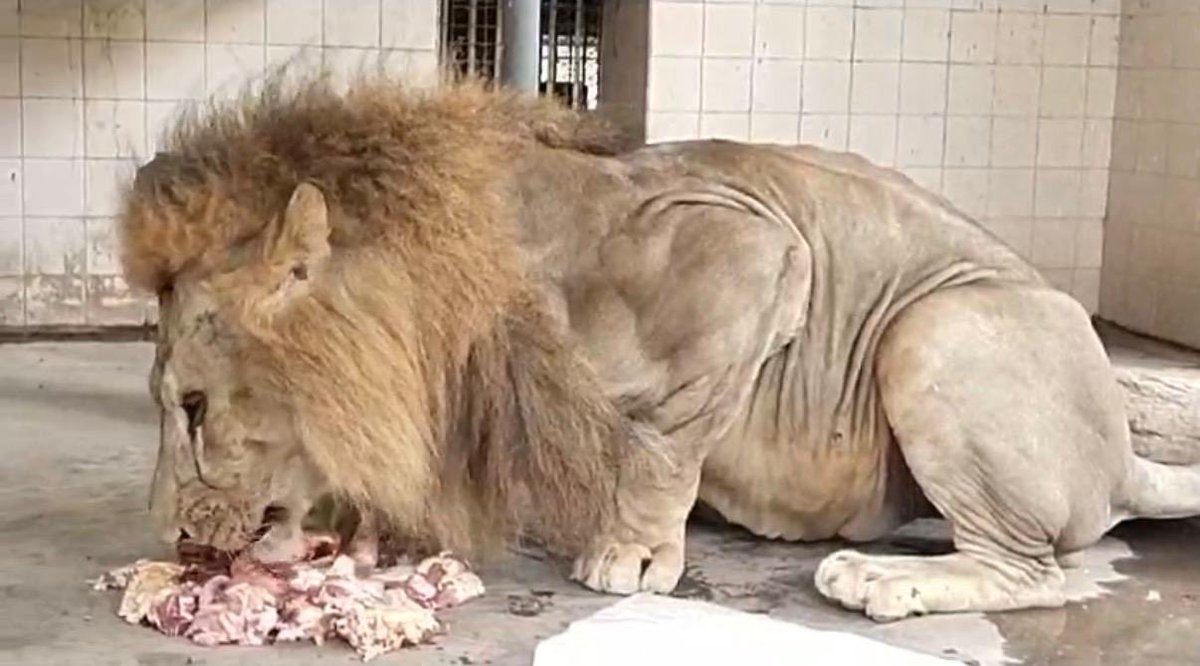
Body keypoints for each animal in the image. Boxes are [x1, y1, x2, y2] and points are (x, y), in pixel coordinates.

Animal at [118, 70, 1200, 623]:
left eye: (195, 408)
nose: (174, 540)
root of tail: (1121, 459)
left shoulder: (758, 250)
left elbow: (664, 440)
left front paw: (631, 554)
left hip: (933, 330)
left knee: (1035, 570)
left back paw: (887, 578)